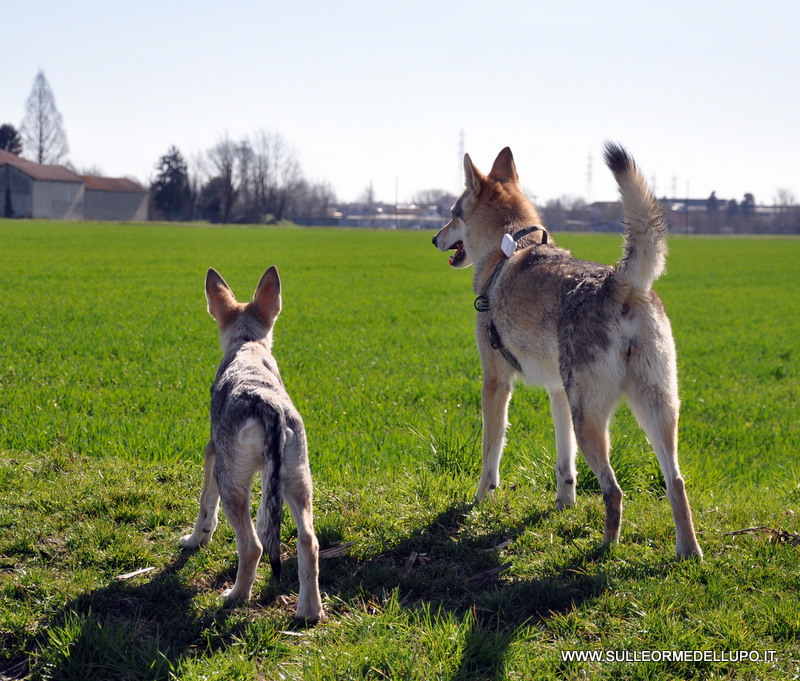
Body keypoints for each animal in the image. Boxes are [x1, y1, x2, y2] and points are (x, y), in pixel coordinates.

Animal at [181, 266, 324, 620]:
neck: (248, 346)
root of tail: (266, 403)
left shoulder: (212, 452)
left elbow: (205, 505)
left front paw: (194, 540)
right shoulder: (269, 474)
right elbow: (266, 515)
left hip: (232, 482)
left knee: (251, 547)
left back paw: (235, 597)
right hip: (298, 480)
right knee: (309, 542)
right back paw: (310, 611)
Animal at [432, 143, 702, 559]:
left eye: (451, 214)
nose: (434, 239)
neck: (509, 249)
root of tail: (621, 284)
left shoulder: (495, 384)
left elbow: (490, 454)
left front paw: (479, 502)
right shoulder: (557, 392)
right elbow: (564, 464)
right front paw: (564, 505)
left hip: (590, 418)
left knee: (614, 489)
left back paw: (605, 548)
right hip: (654, 411)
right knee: (675, 482)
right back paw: (687, 553)